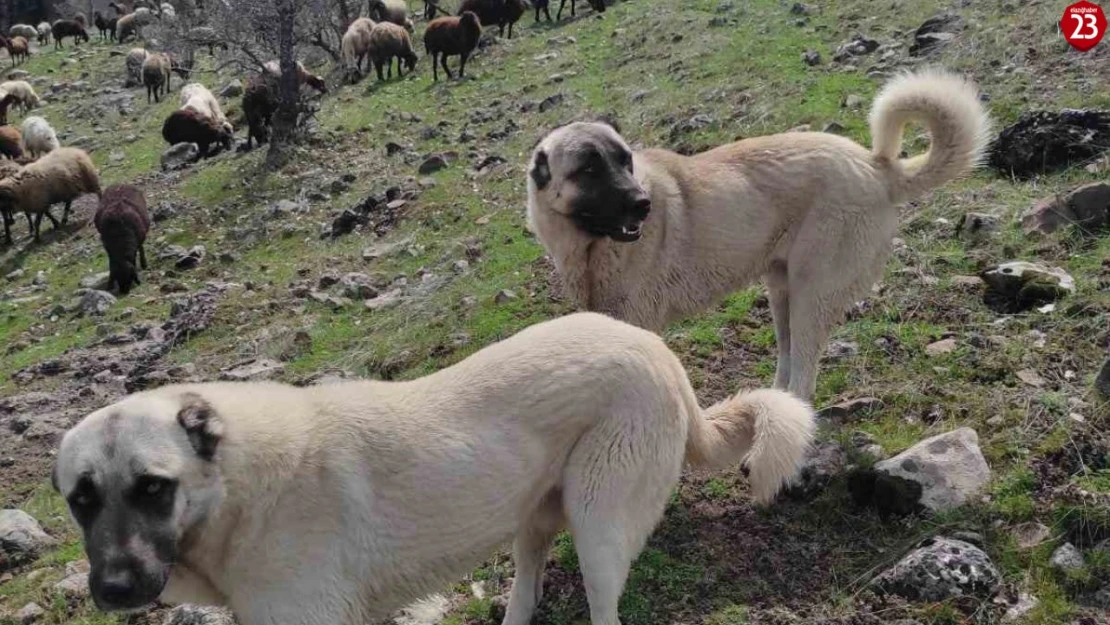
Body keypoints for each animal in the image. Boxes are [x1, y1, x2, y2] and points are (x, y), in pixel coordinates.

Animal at [54, 313, 816, 625]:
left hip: (598, 529)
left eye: (153, 487)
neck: (238, 490)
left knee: (603, 606)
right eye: (81, 499)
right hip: (532, 515)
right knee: (528, 588)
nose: (113, 589)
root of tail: (659, 351)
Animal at [523, 69, 994, 401]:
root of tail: (876, 168)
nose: (643, 203)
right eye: (589, 168)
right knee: (787, 361)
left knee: (804, 374)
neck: (590, 246)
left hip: (811, 295)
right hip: (782, 293)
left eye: (625, 161)